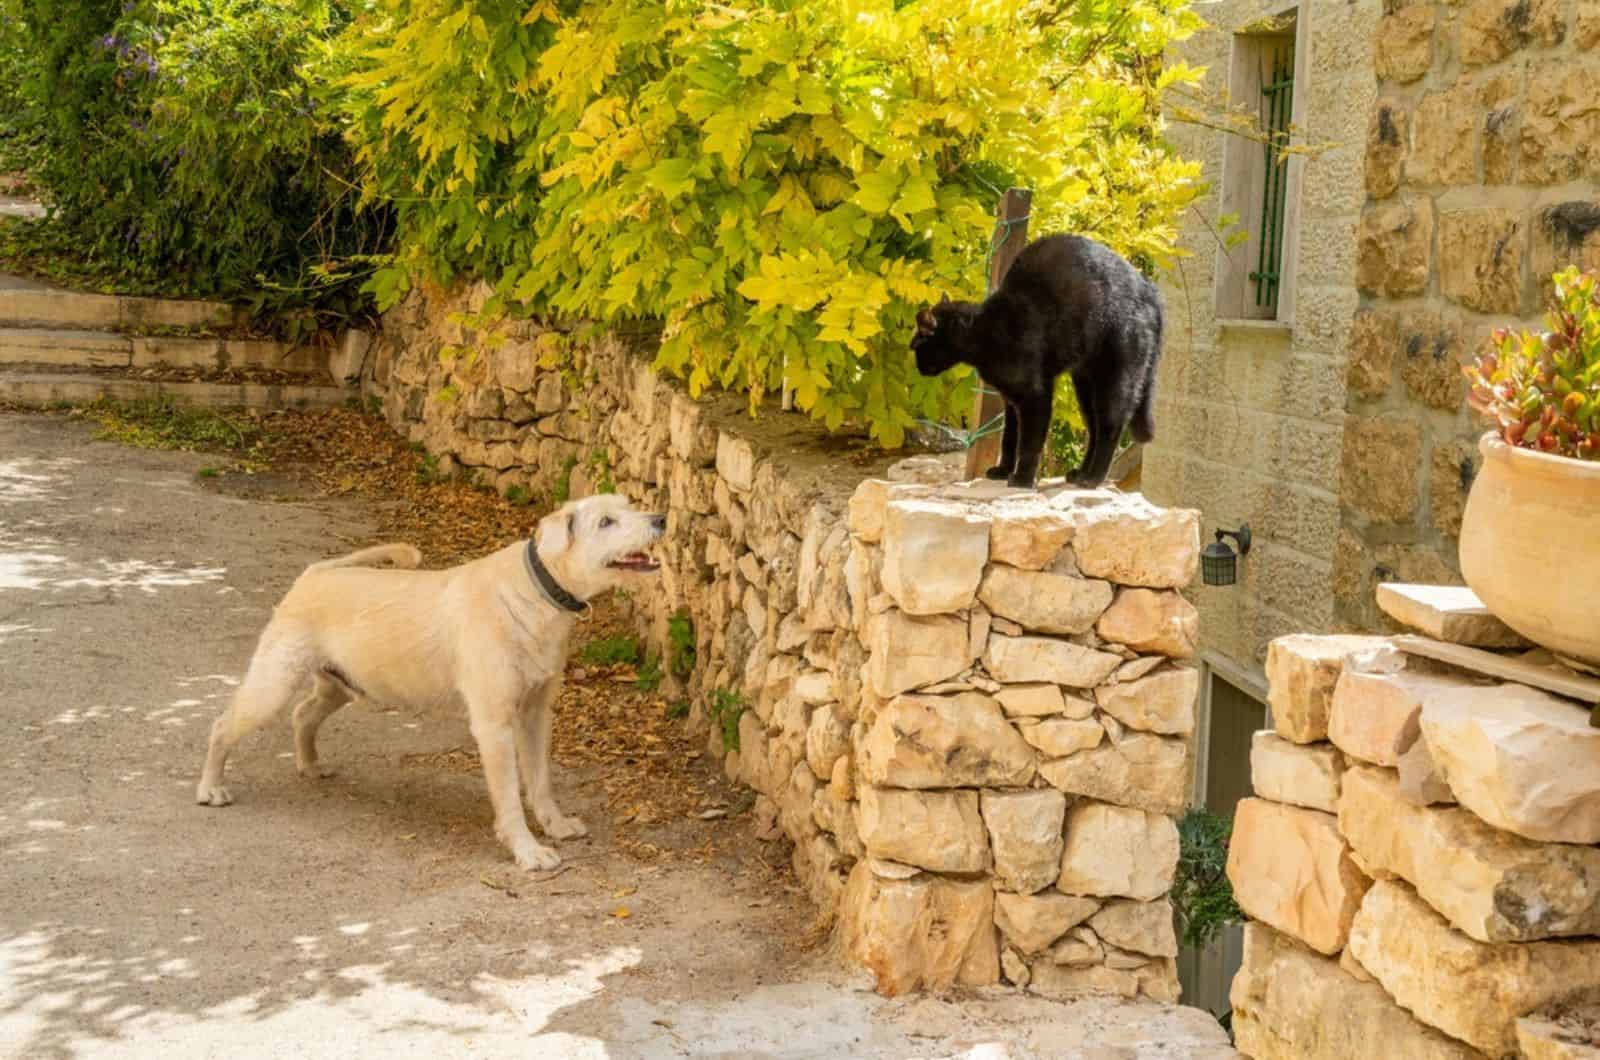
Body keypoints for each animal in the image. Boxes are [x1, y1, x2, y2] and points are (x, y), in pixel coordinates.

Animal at [196, 493, 665, 877]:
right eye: (606, 521)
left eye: (626, 504)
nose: (660, 518)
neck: (534, 591)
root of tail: (313, 574)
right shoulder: (494, 725)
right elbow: (510, 795)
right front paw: (528, 851)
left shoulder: (535, 714)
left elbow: (540, 780)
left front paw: (556, 824)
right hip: (272, 685)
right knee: (222, 725)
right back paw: (211, 788)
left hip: (338, 686)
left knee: (303, 714)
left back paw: (310, 764)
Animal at [915, 235, 1164, 493]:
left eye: (916, 347)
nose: (918, 367)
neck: (986, 330)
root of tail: (1150, 291)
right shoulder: (1011, 399)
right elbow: (1009, 437)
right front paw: (1003, 470)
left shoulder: (1035, 395)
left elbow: (1029, 443)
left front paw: (1022, 479)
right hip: (1085, 385)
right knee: (1094, 429)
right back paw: (1080, 473)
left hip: (1114, 378)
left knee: (1110, 426)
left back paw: (1093, 478)